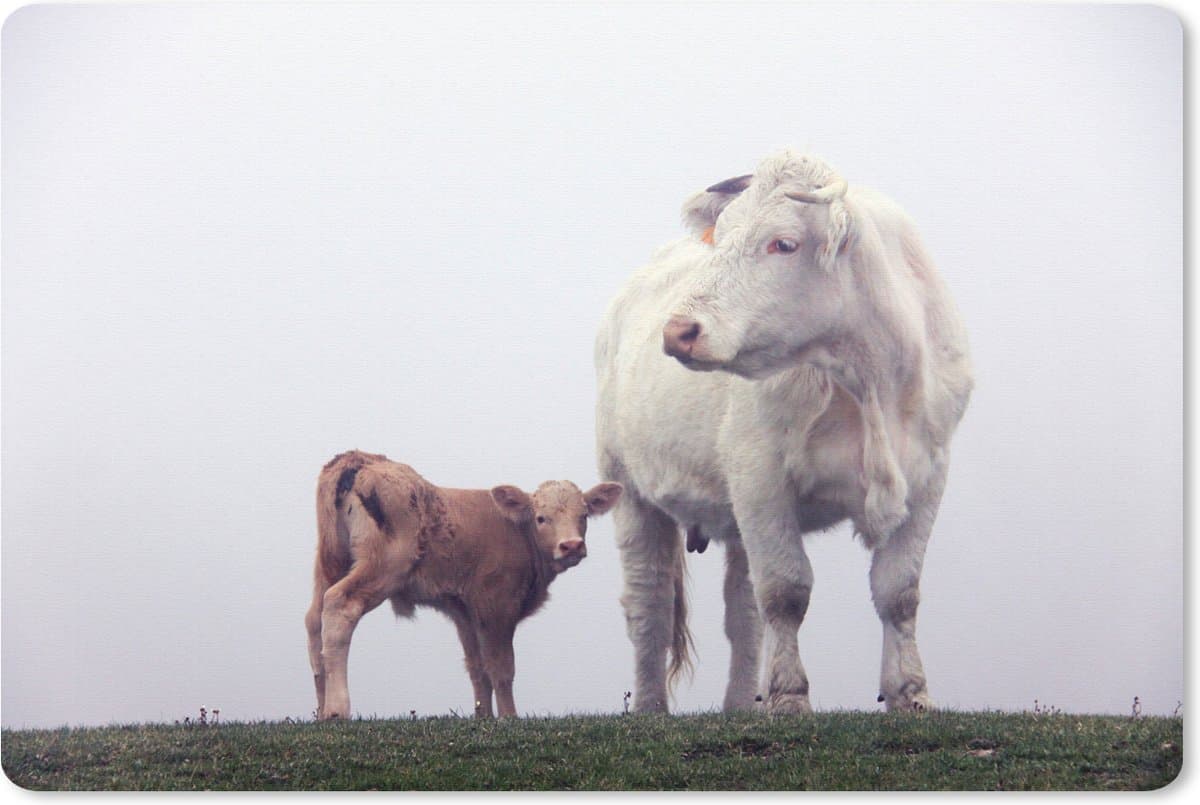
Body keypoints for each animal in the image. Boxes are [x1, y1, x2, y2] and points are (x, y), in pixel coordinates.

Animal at [305, 450, 623, 719]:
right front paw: (509, 717)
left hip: (329, 565)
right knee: (340, 605)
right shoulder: (496, 605)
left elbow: (477, 667)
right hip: (383, 565)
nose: (571, 546)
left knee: (314, 621)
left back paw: (321, 709)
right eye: (541, 518)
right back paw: (337, 709)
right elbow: (501, 667)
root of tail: (359, 460)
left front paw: (485, 717)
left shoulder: (465, 611)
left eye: (583, 515)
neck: (519, 533)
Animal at [595, 150, 972, 714]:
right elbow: (785, 591)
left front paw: (911, 696)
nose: (678, 331)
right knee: (650, 605)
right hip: (629, 489)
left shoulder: (928, 475)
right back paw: (650, 708)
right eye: (723, 235)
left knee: (741, 613)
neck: (869, 379)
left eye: (784, 243)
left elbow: (898, 591)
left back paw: (739, 708)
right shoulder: (760, 477)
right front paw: (791, 699)